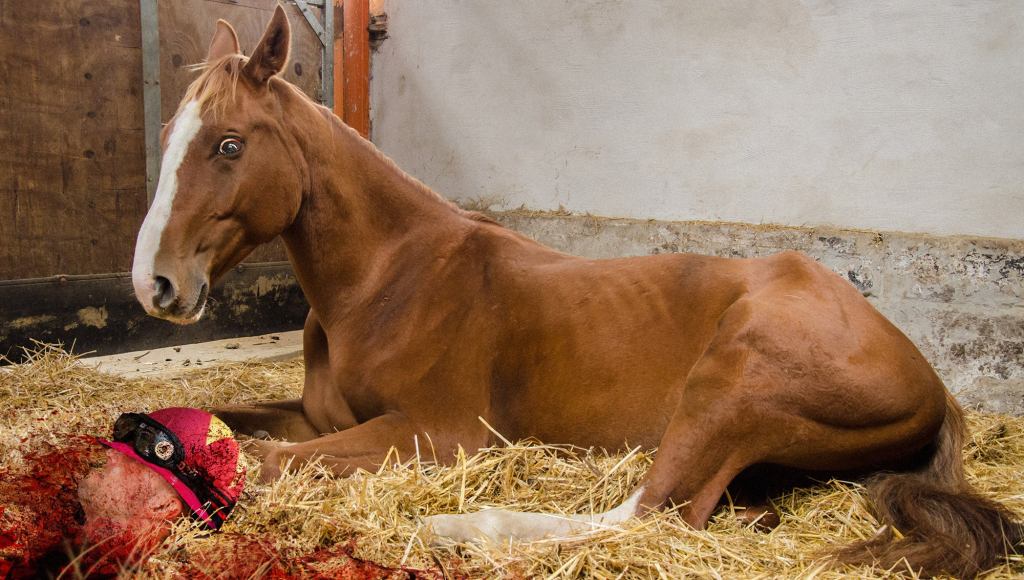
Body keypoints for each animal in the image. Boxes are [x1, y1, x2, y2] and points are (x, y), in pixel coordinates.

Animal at [132, 6, 1019, 577]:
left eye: (229, 144)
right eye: (171, 135)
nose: (155, 283)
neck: (390, 280)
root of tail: (932, 382)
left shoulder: (437, 434)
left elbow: (269, 460)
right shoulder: (323, 416)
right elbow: (236, 423)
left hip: (735, 383)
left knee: (652, 511)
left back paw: (461, 525)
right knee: (712, 508)